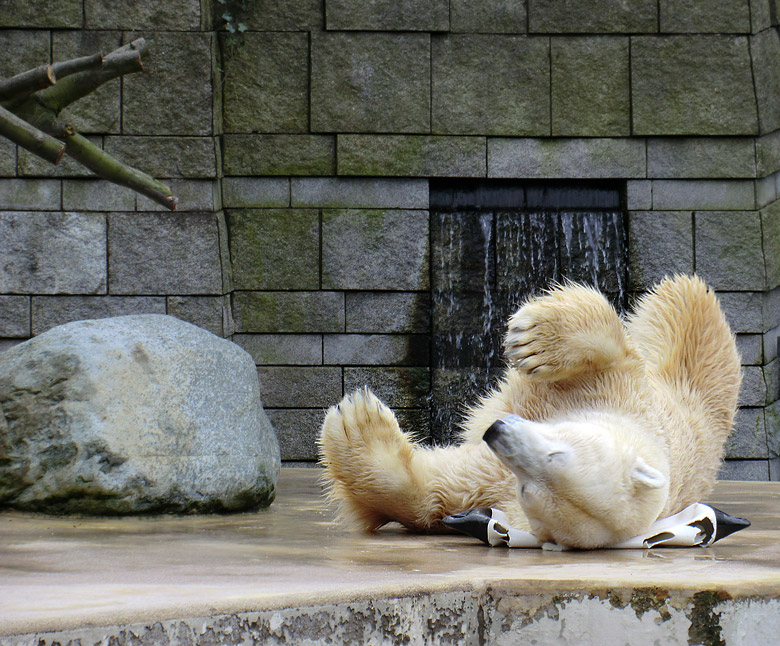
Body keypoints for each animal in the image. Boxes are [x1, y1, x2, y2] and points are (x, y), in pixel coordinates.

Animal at [318, 276, 744, 548]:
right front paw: (533, 338)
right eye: (561, 449)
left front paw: (355, 422)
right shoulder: (622, 392)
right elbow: (609, 350)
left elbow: (432, 491)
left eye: (531, 491)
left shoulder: (495, 485)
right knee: (685, 301)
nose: (496, 432)